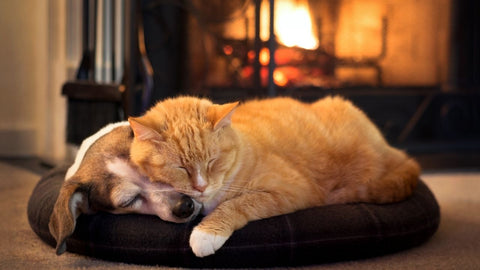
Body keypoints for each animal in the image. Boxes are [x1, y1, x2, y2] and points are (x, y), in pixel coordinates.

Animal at [127, 95, 420, 258]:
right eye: (181, 168)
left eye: (212, 161)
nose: (200, 187)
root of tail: (390, 148)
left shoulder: (291, 190)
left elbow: (236, 204)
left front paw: (206, 233)